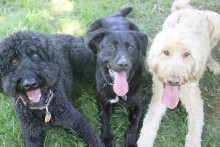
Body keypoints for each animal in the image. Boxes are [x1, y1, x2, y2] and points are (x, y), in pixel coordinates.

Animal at [87, 7, 148, 147]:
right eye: (111, 47)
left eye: (131, 47)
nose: (123, 64)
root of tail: (113, 17)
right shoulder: (103, 102)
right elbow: (105, 121)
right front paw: (107, 139)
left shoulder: (138, 106)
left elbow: (134, 127)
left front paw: (131, 143)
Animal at [137, 0, 219, 146]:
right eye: (165, 52)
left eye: (186, 54)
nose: (173, 81)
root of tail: (190, 9)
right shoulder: (158, 97)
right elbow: (149, 123)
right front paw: (144, 141)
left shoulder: (195, 103)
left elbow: (194, 132)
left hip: (216, 20)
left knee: (209, 50)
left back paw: (212, 64)